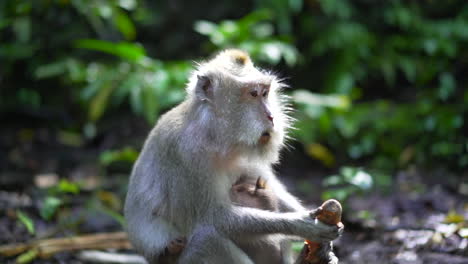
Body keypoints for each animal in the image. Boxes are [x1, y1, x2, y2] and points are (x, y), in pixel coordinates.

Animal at [124, 49, 344, 264]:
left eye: (265, 93)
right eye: (253, 94)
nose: (271, 116)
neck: (214, 135)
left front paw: (323, 244)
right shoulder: (186, 154)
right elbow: (214, 219)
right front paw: (301, 225)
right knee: (207, 239)